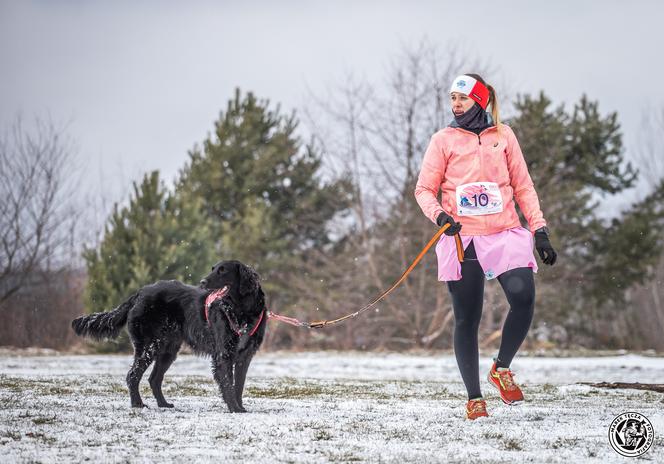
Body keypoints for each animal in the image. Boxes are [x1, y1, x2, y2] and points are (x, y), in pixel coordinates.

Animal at [72, 260, 268, 414]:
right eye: (213, 268)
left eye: (222, 270)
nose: (202, 281)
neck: (241, 310)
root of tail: (140, 293)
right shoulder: (223, 354)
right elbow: (228, 383)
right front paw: (234, 409)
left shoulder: (244, 357)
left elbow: (239, 385)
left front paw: (240, 407)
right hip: (148, 346)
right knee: (132, 375)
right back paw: (138, 404)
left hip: (167, 349)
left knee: (153, 379)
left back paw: (163, 404)